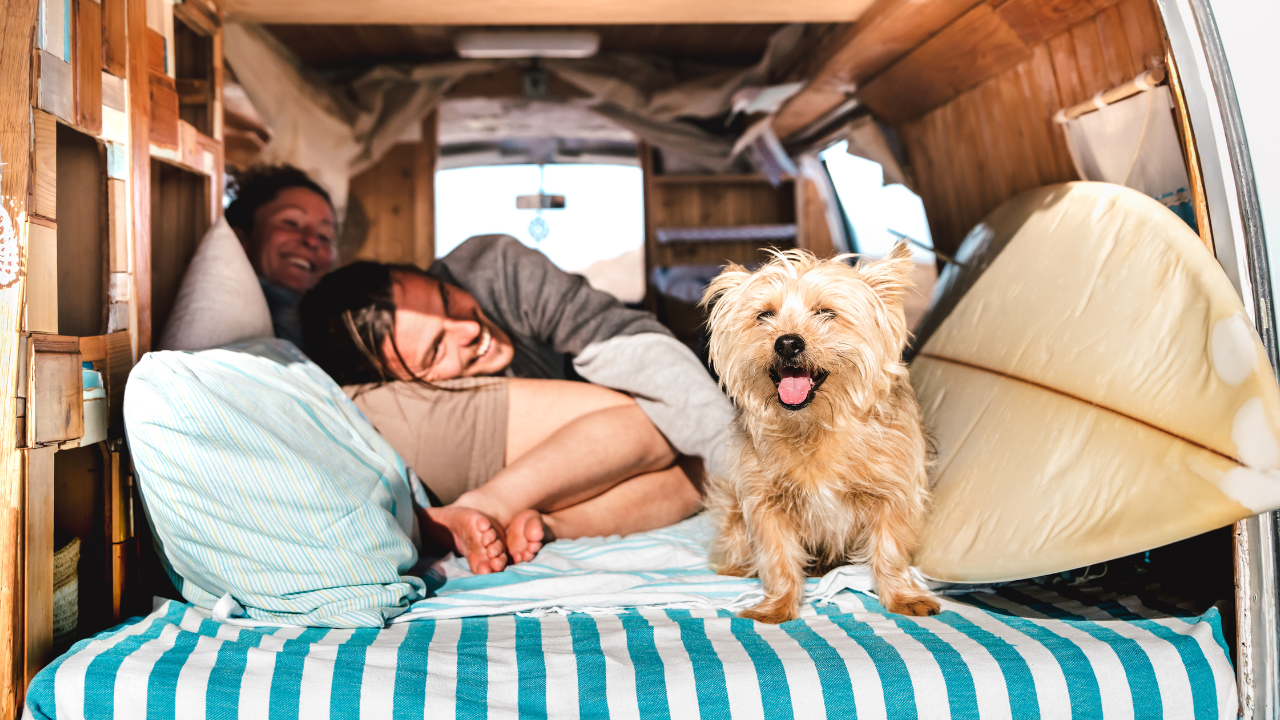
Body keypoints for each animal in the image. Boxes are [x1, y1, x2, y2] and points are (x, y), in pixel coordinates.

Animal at [701, 242, 942, 622]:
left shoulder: (893, 494)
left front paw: (902, 596)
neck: (814, 425)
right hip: (730, 504)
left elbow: (889, 551)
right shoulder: (766, 500)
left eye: (826, 312)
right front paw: (777, 605)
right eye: (764, 315)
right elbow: (778, 558)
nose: (787, 343)